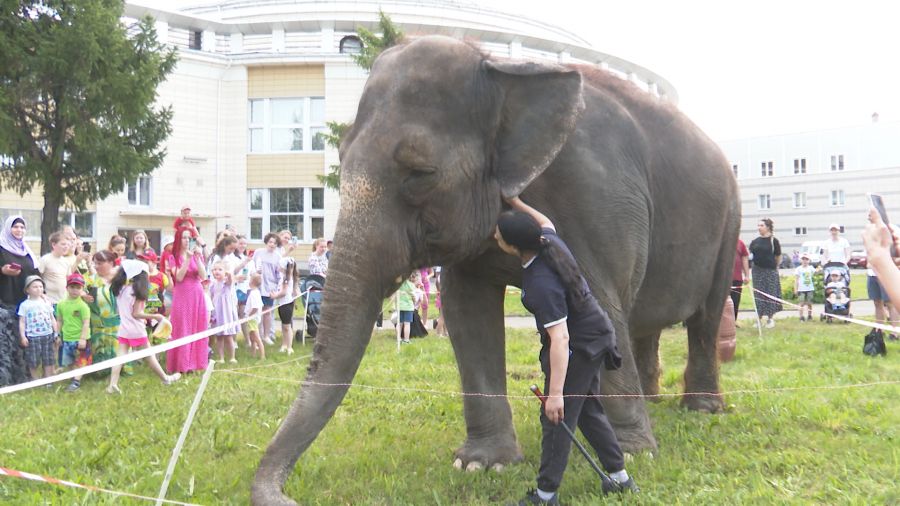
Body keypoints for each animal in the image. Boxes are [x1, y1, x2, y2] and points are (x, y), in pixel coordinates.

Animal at [251, 33, 740, 504]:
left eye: (419, 173)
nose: (287, 497)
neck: (499, 69)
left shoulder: (597, 192)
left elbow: (600, 303)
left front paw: (635, 454)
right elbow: (466, 311)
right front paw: (482, 465)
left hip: (729, 226)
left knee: (704, 316)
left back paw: (701, 409)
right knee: (644, 322)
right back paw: (655, 399)